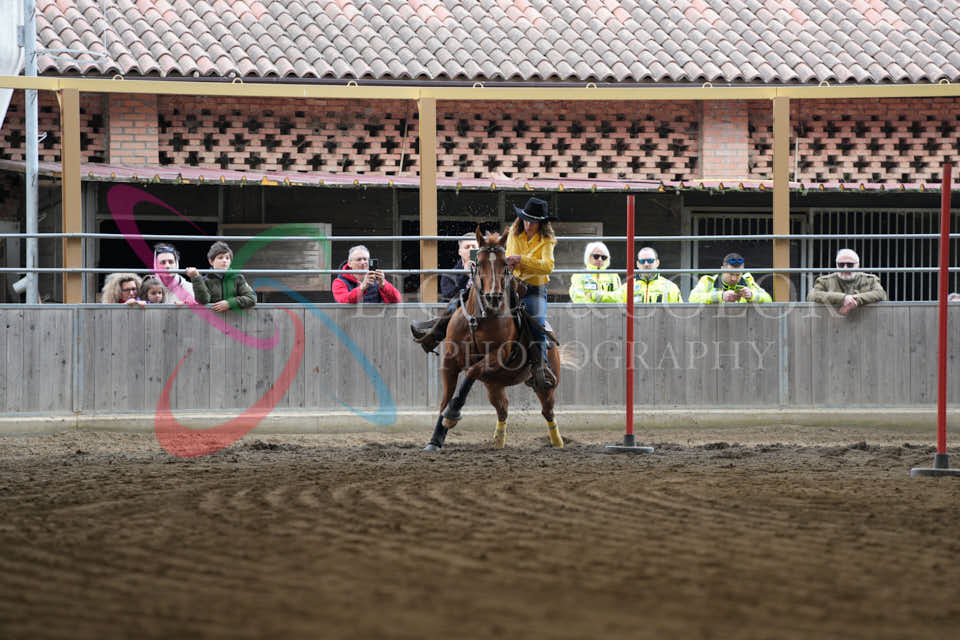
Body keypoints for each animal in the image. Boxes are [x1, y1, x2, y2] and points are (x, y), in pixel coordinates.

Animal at [424, 227, 564, 451]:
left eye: (505, 264)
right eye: (480, 262)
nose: (493, 296)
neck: (478, 319)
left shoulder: (497, 355)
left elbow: (470, 372)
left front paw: (452, 415)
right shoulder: (449, 361)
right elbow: (445, 399)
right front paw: (435, 439)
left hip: (545, 385)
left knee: (547, 411)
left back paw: (558, 442)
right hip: (494, 384)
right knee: (503, 409)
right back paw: (498, 441)